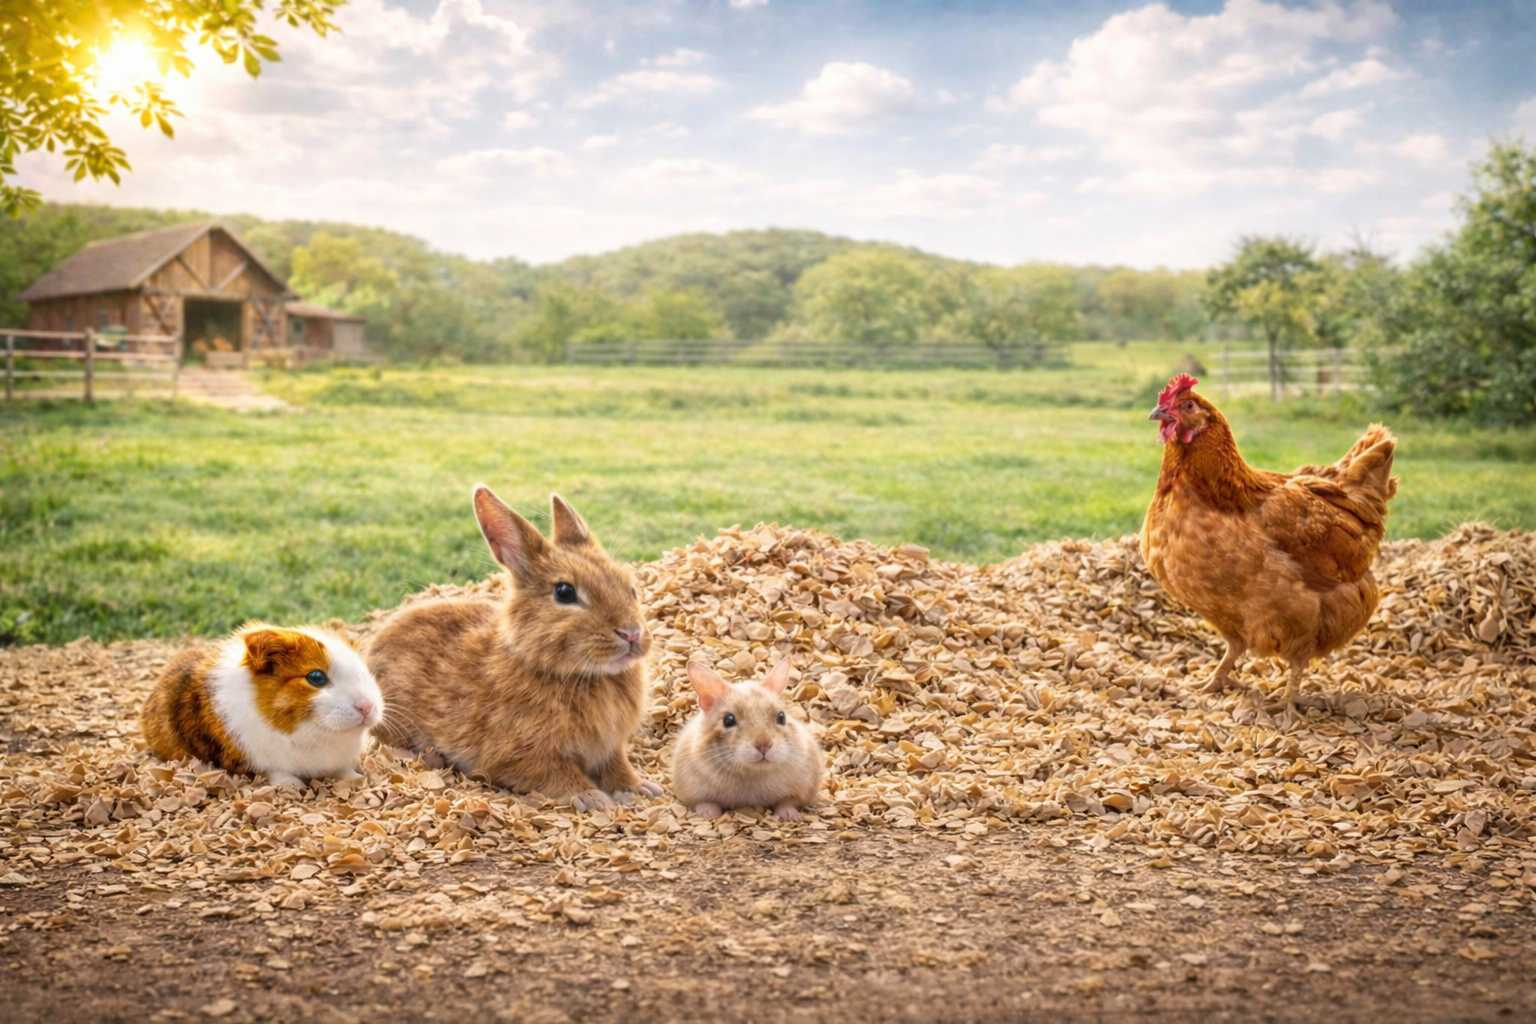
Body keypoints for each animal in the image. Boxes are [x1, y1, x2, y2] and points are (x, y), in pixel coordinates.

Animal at [141, 623, 384, 787]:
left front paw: (356, 779)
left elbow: (343, 771)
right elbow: (278, 773)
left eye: (363, 668)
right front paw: (292, 787)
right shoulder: (262, 761)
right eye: (316, 677)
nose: (367, 707)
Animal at [367, 486, 660, 812]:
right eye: (565, 592)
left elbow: (617, 766)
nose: (632, 634)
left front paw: (639, 789)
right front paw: (592, 798)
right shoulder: (521, 756)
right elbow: (558, 774)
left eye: (629, 587)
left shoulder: (609, 748)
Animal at [671, 657, 823, 820]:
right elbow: (705, 803)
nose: (764, 746)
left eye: (781, 716)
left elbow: (787, 802)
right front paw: (709, 815)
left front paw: (791, 816)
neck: (753, 772)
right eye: (728, 720)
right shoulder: (692, 791)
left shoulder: (803, 788)